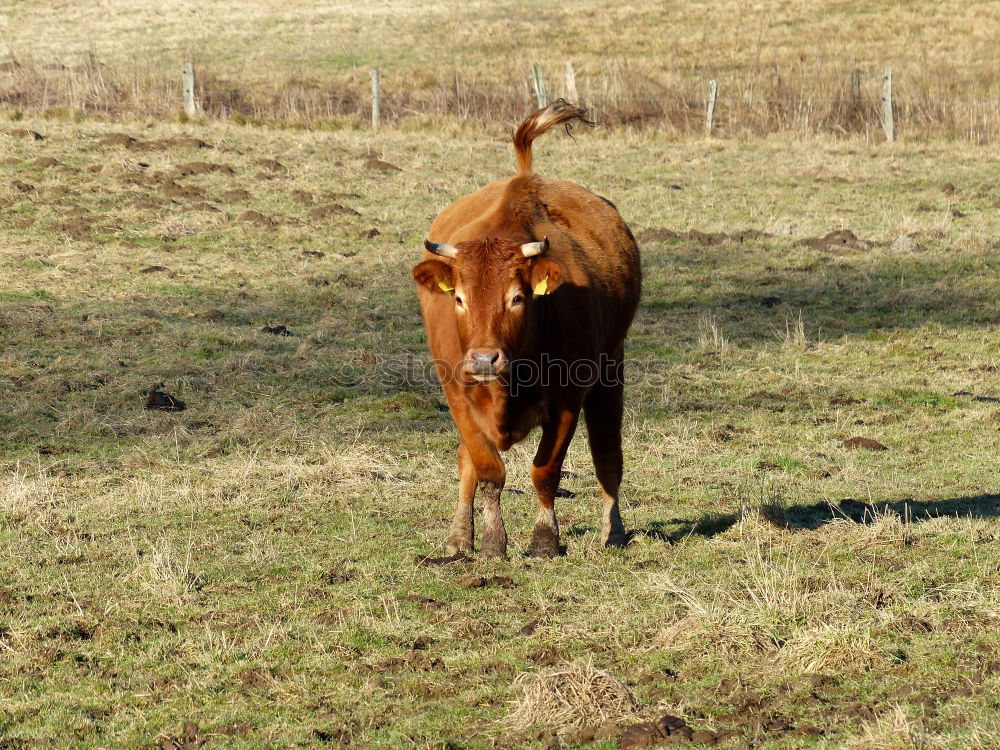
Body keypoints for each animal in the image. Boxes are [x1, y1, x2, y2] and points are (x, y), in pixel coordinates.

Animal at [412, 100, 640, 560]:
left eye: (517, 297)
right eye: (458, 298)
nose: (484, 358)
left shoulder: (570, 397)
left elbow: (545, 471)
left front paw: (545, 540)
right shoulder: (457, 395)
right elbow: (486, 470)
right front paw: (491, 540)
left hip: (611, 369)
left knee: (608, 454)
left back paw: (613, 530)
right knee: (466, 465)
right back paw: (459, 537)